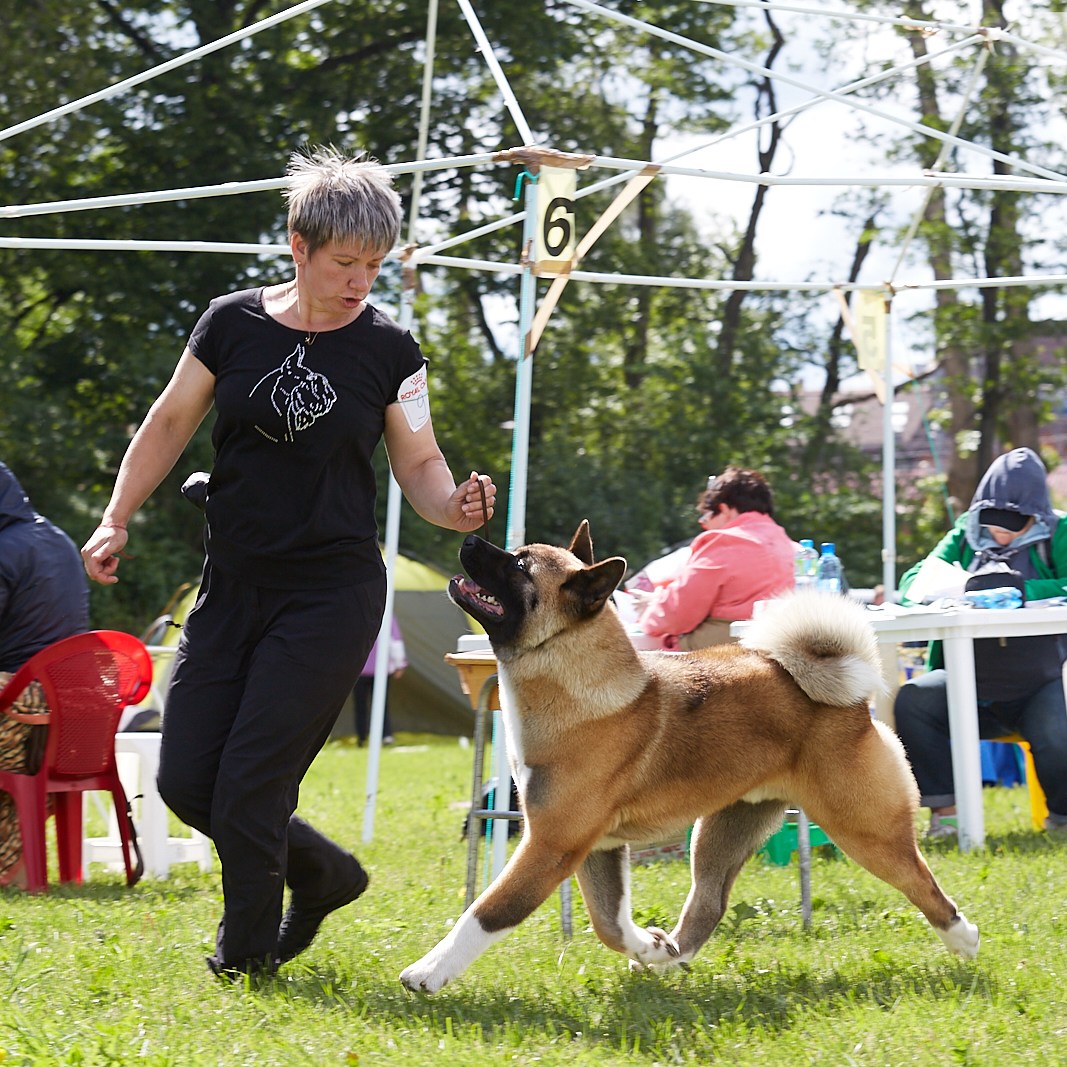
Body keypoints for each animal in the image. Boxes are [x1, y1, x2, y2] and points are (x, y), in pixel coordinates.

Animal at [399, 520, 977, 994]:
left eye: (519, 565)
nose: (470, 540)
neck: (574, 682)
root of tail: (850, 699)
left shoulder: (550, 846)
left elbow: (488, 912)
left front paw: (429, 972)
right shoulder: (595, 847)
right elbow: (609, 923)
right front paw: (649, 946)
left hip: (864, 829)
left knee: (921, 882)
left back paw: (964, 937)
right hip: (723, 832)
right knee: (709, 902)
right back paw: (671, 957)